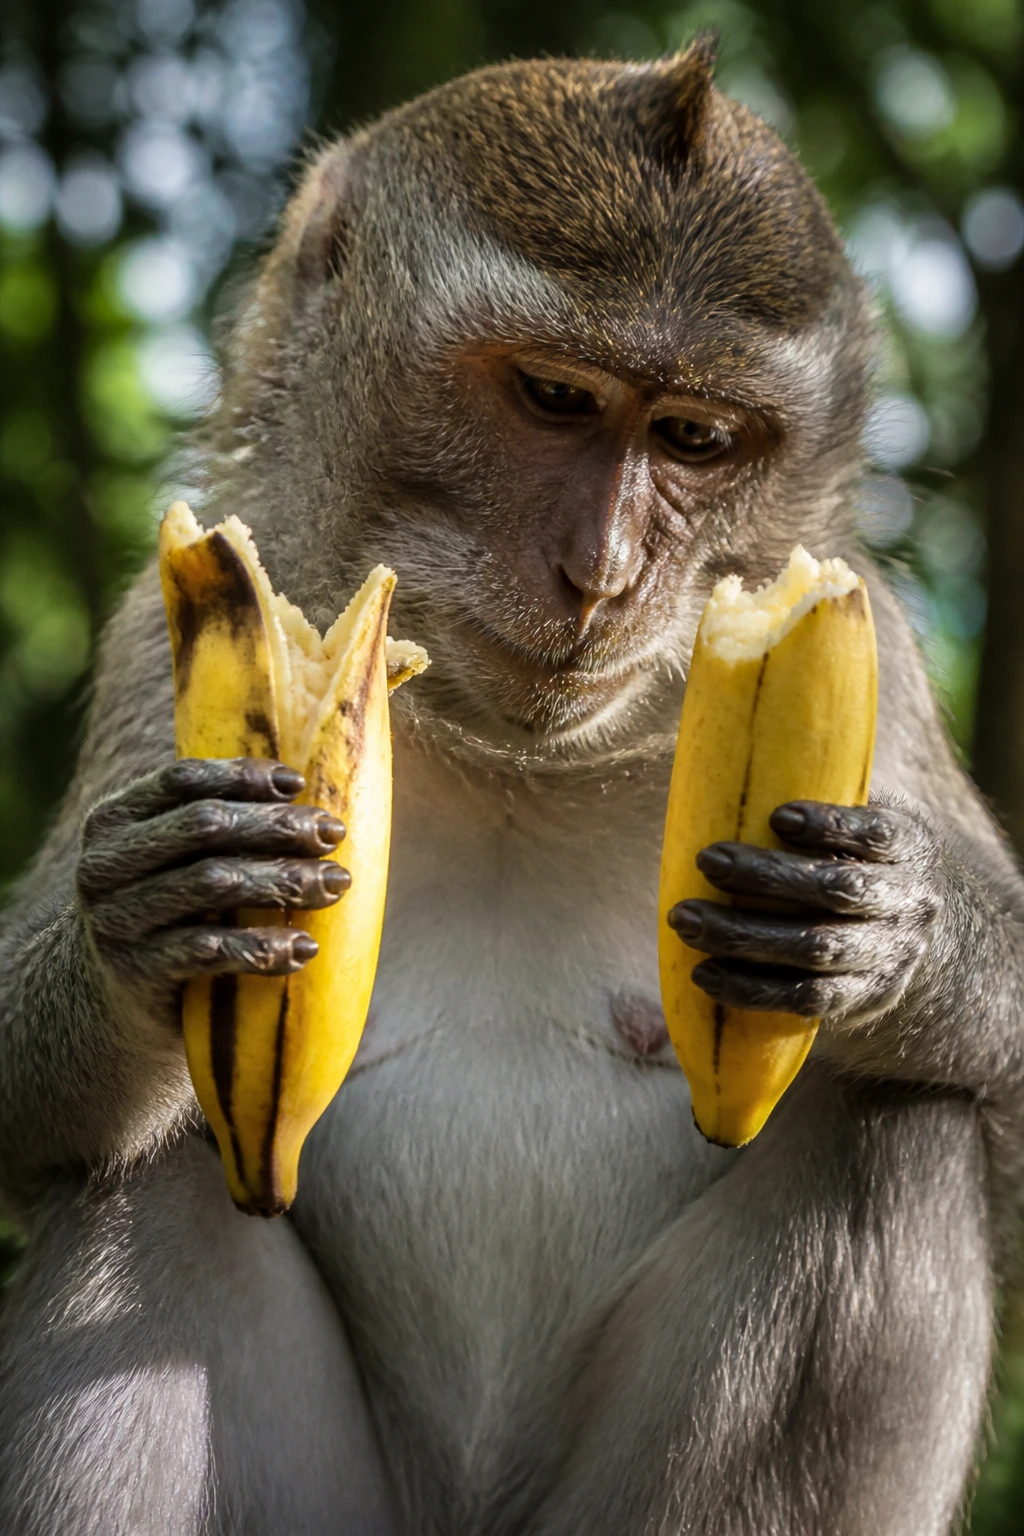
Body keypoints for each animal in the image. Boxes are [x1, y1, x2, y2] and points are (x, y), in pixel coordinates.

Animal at [0, 39, 1021, 1536]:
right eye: (553, 399)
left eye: (697, 437)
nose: (602, 574)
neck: (517, 757)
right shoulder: (150, 641)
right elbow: (42, 1121)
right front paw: (142, 910)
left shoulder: (878, 651)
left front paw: (899, 931)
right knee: (158, 1162)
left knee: (894, 1129)